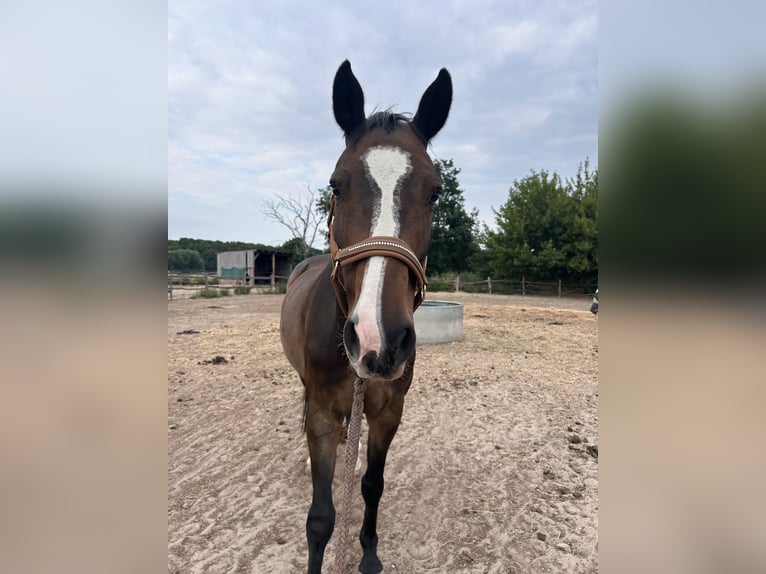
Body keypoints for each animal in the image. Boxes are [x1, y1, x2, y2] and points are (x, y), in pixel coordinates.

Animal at [279, 60, 452, 574]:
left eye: (436, 193)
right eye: (336, 184)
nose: (379, 340)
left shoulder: (389, 411)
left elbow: (372, 485)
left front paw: (370, 555)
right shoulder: (320, 410)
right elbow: (320, 518)